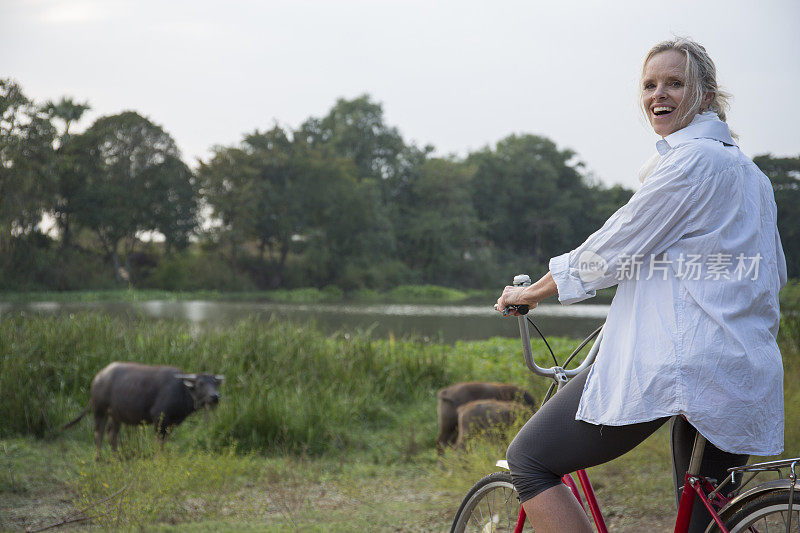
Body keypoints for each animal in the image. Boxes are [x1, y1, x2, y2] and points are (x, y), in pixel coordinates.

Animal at [61, 360, 225, 456]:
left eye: (215, 384)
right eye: (200, 384)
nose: (215, 397)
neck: (182, 391)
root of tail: (98, 378)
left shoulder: (171, 423)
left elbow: (165, 441)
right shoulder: (159, 417)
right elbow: (158, 440)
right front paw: (158, 458)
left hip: (116, 415)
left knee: (112, 433)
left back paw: (115, 457)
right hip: (99, 410)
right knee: (98, 433)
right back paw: (99, 458)